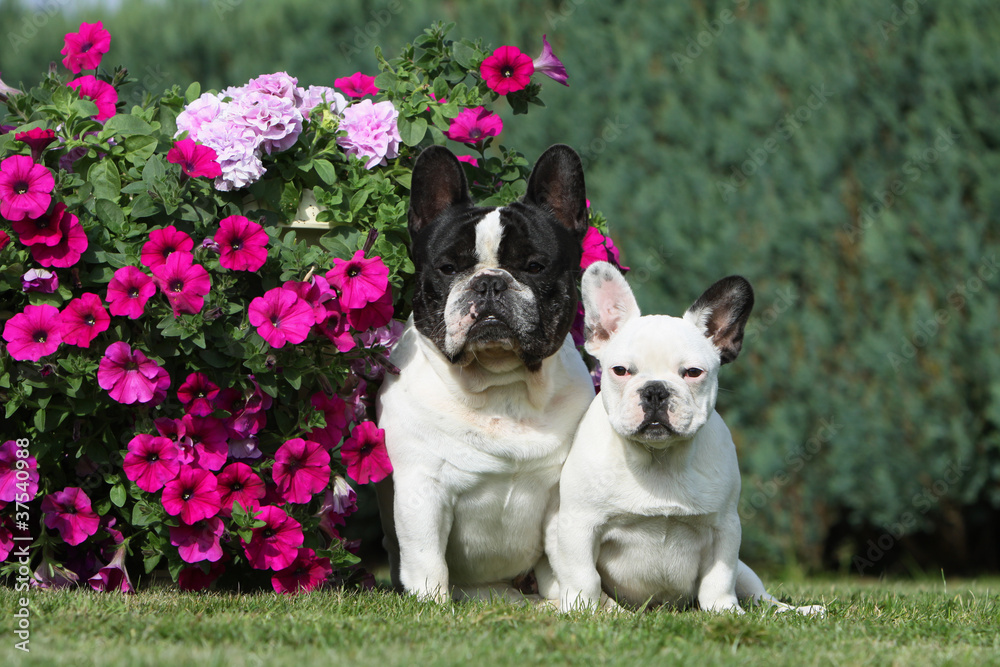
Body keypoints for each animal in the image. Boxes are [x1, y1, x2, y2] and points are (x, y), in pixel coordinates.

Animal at [376, 146, 592, 604]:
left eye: (535, 266)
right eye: (448, 267)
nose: (490, 283)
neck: (500, 385)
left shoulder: (563, 498)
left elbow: (569, 557)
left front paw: (580, 604)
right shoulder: (422, 490)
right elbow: (426, 559)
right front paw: (432, 605)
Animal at [552, 260, 824, 616]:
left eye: (693, 373)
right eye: (620, 371)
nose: (655, 390)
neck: (660, 458)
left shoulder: (725, 528)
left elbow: (719, 578)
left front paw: (724, 611)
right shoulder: (579, 525)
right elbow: (582, 575)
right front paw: (579, 610)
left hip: (745, 571)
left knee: (759, 596)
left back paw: (793, 611)